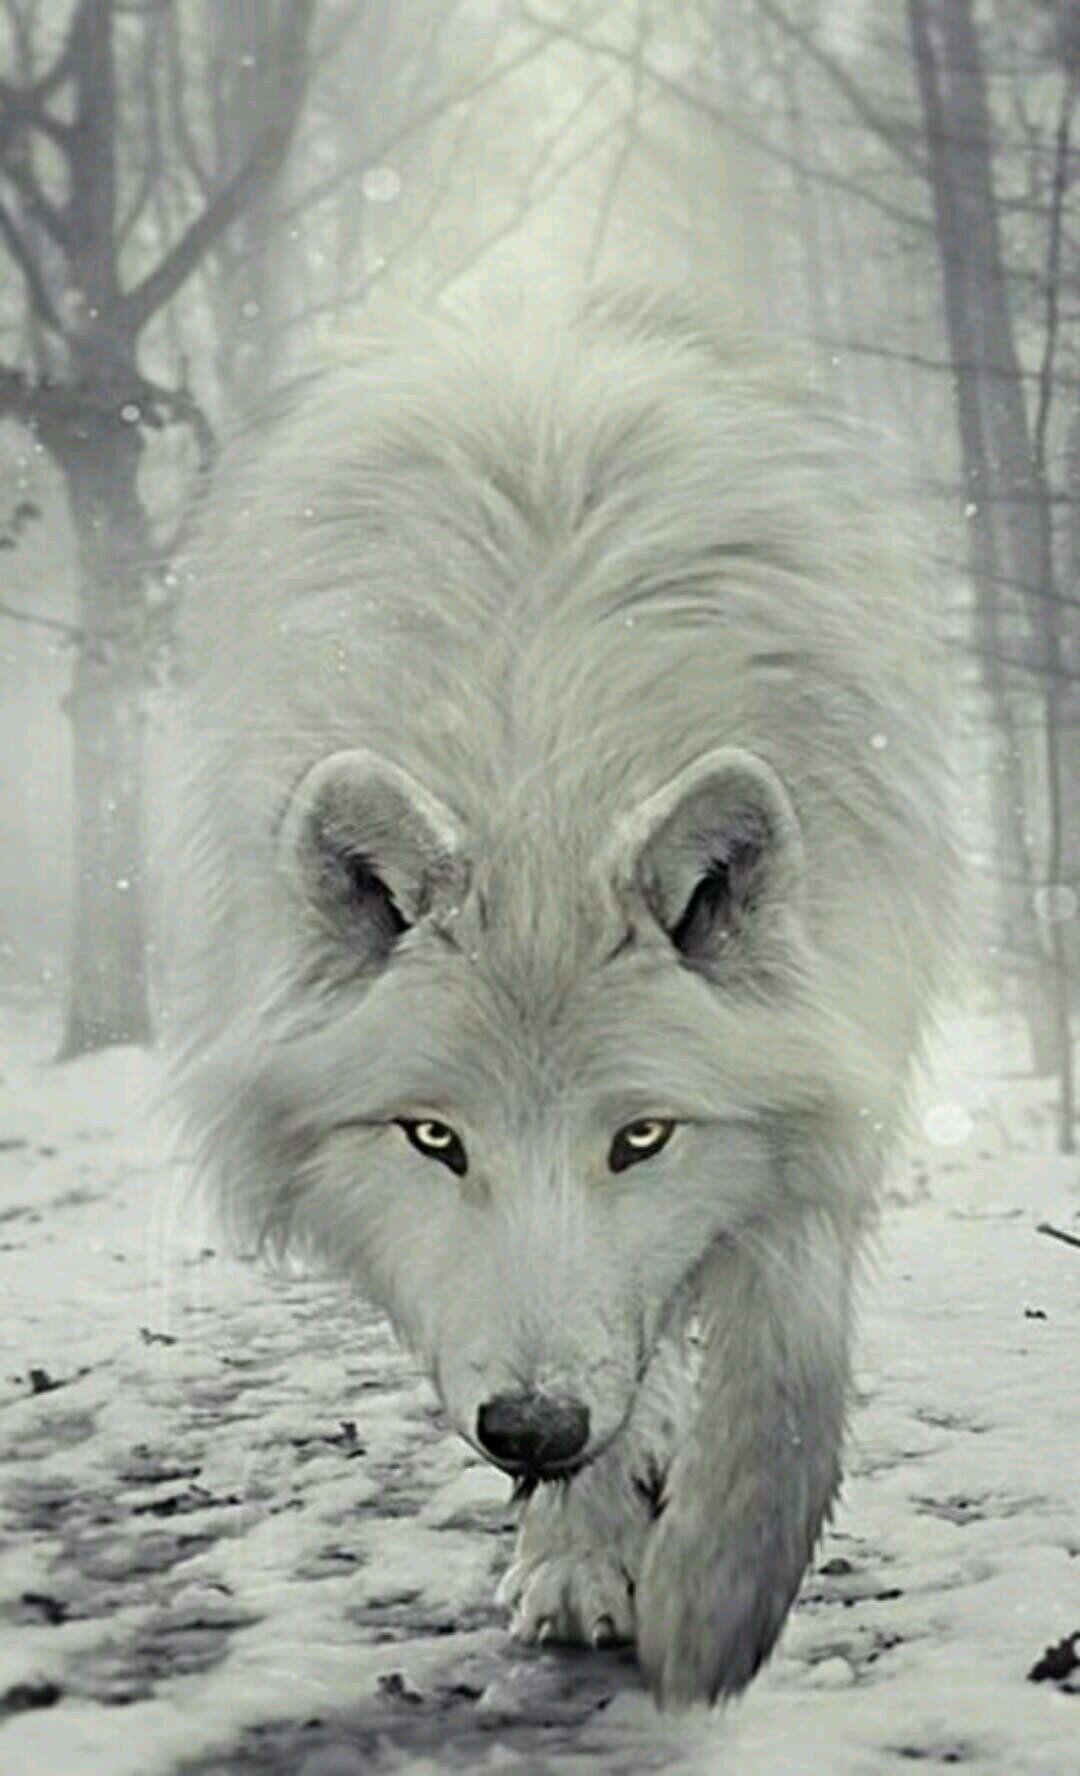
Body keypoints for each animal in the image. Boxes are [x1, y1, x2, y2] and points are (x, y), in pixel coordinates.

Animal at [170, 281, 955, 1709]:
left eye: (640, 1137)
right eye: (435, 1138)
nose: (530, 1428)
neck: (543, 771)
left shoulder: (839, 1047)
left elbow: (788, 1360)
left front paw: (715, 1604)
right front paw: (584, 1554)